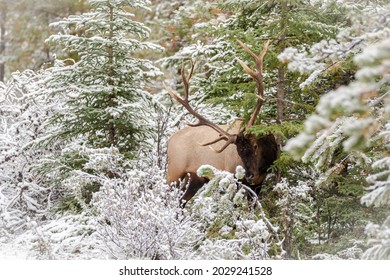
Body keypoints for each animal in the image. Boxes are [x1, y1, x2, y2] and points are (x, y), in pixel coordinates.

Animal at [165, 40, 278, 203]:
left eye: (255, 146)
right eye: (239, 152)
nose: (249, 175)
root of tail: (169, 142)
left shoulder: (259, 182)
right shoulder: (235, 178)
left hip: (195, 177)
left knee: (181, 202)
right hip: (174, 172)